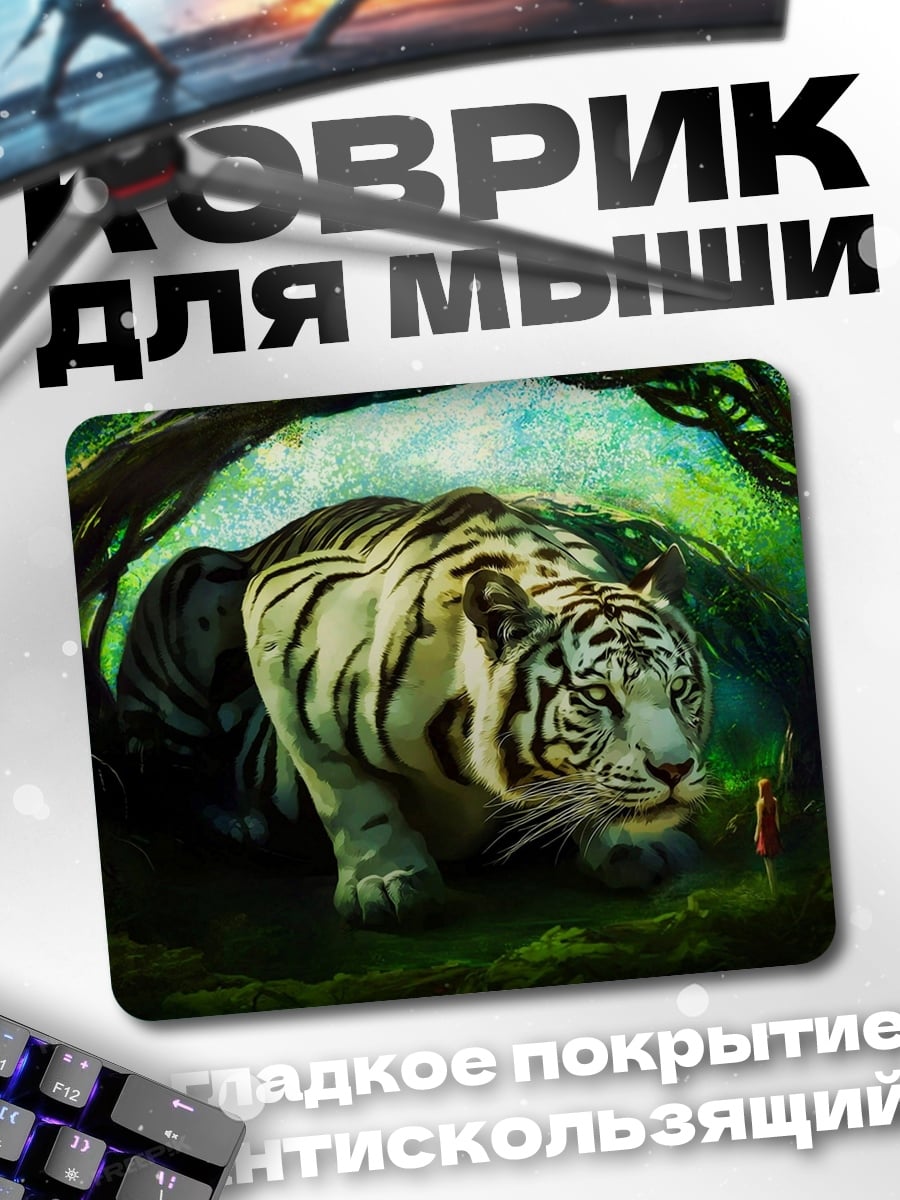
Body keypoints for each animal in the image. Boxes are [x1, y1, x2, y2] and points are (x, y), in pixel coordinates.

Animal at [117, 488, 711, 926]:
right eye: (598, 696)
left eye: (680, 688)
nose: (676, 770)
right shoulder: (277, 613)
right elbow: (347, 790)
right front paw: (386, 883)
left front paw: (638, 844)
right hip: (188, 600)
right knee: (170, 779)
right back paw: (241, 824)